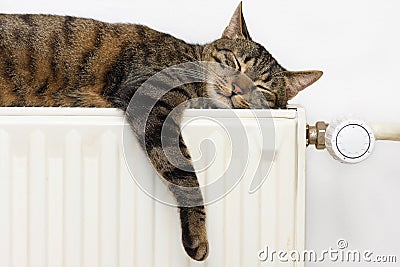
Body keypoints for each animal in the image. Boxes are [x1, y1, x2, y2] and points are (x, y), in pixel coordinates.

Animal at [0, 1, 322, 262]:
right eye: (234, 63)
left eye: (261, 88)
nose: (237, 88)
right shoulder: (151, 99)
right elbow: (184, 173)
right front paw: (197, 233)